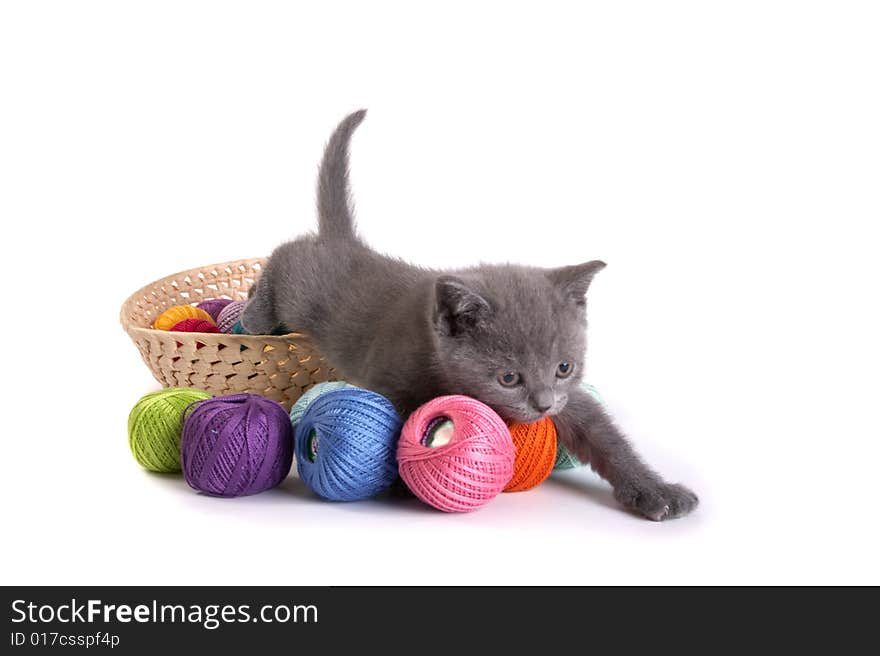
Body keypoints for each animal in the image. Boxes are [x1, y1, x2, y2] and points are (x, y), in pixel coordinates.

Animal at [241, 113, 696, 524]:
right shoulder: (396, 378)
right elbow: (401, 426)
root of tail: (346, 242)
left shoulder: (571, 400)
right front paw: (403, 485)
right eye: (509, 377)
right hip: (302, 291)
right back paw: (253, 312)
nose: (542, 404)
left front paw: (657, 491)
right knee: (286, 254)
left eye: (564, 368)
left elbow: (604, 436)